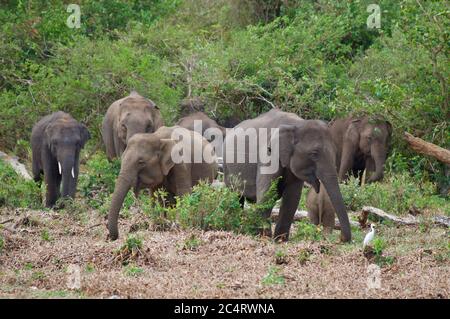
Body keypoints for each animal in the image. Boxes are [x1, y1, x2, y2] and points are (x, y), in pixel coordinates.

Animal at [223, 110, 354, 242]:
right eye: (314, 154)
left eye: (335, 152)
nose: (341, 239)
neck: (297, 124)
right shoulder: (268, 155)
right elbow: (267, 193)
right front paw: (263, 236)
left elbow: (292, 197)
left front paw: (280, 240)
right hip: (226, 168)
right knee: (236, 195)